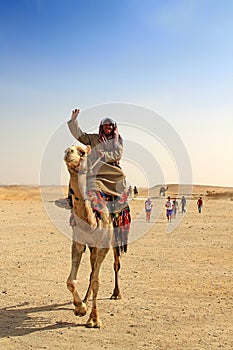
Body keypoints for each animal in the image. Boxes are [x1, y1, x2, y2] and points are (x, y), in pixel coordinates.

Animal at [64, 145, 129, 328]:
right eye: (69, 149)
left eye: (82, 152)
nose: (68, 151)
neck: (91, 220)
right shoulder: (78, 243)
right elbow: (71, 281)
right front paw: (80, 308)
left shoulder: (103, 245)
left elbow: (96, 281)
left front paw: (94, 319)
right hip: (93, 246)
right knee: (92, 268)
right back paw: (85, 300)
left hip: (115, 238)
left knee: (115, 264)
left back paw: (116, 293)